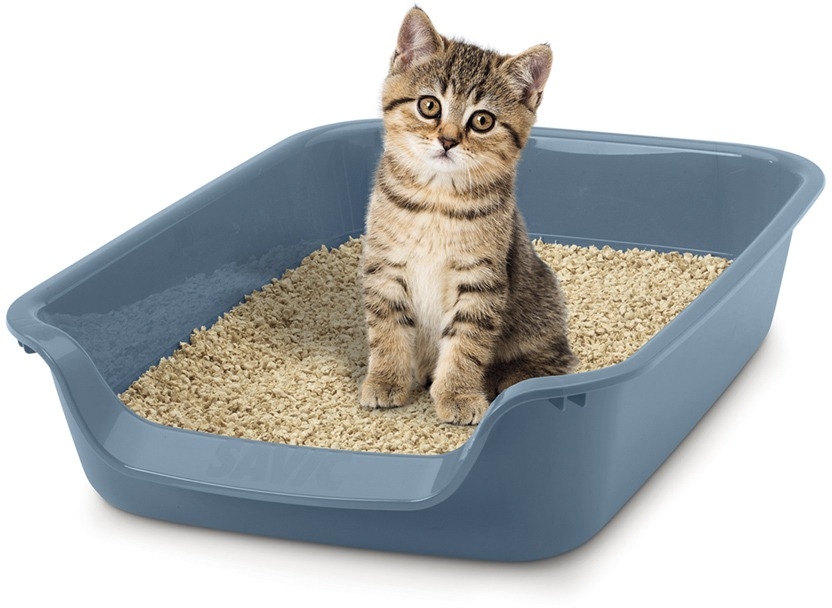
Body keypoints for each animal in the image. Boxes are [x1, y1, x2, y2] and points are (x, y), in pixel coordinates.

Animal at [360, 7, 578, 425]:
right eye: (429, 105)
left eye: (482, 121)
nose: (447, 140)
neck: (436, 201)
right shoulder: (385, 266)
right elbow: (388, 327)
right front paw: (386, 379)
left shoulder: (481, 281)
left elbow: (467, 343)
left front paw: (459, 394)